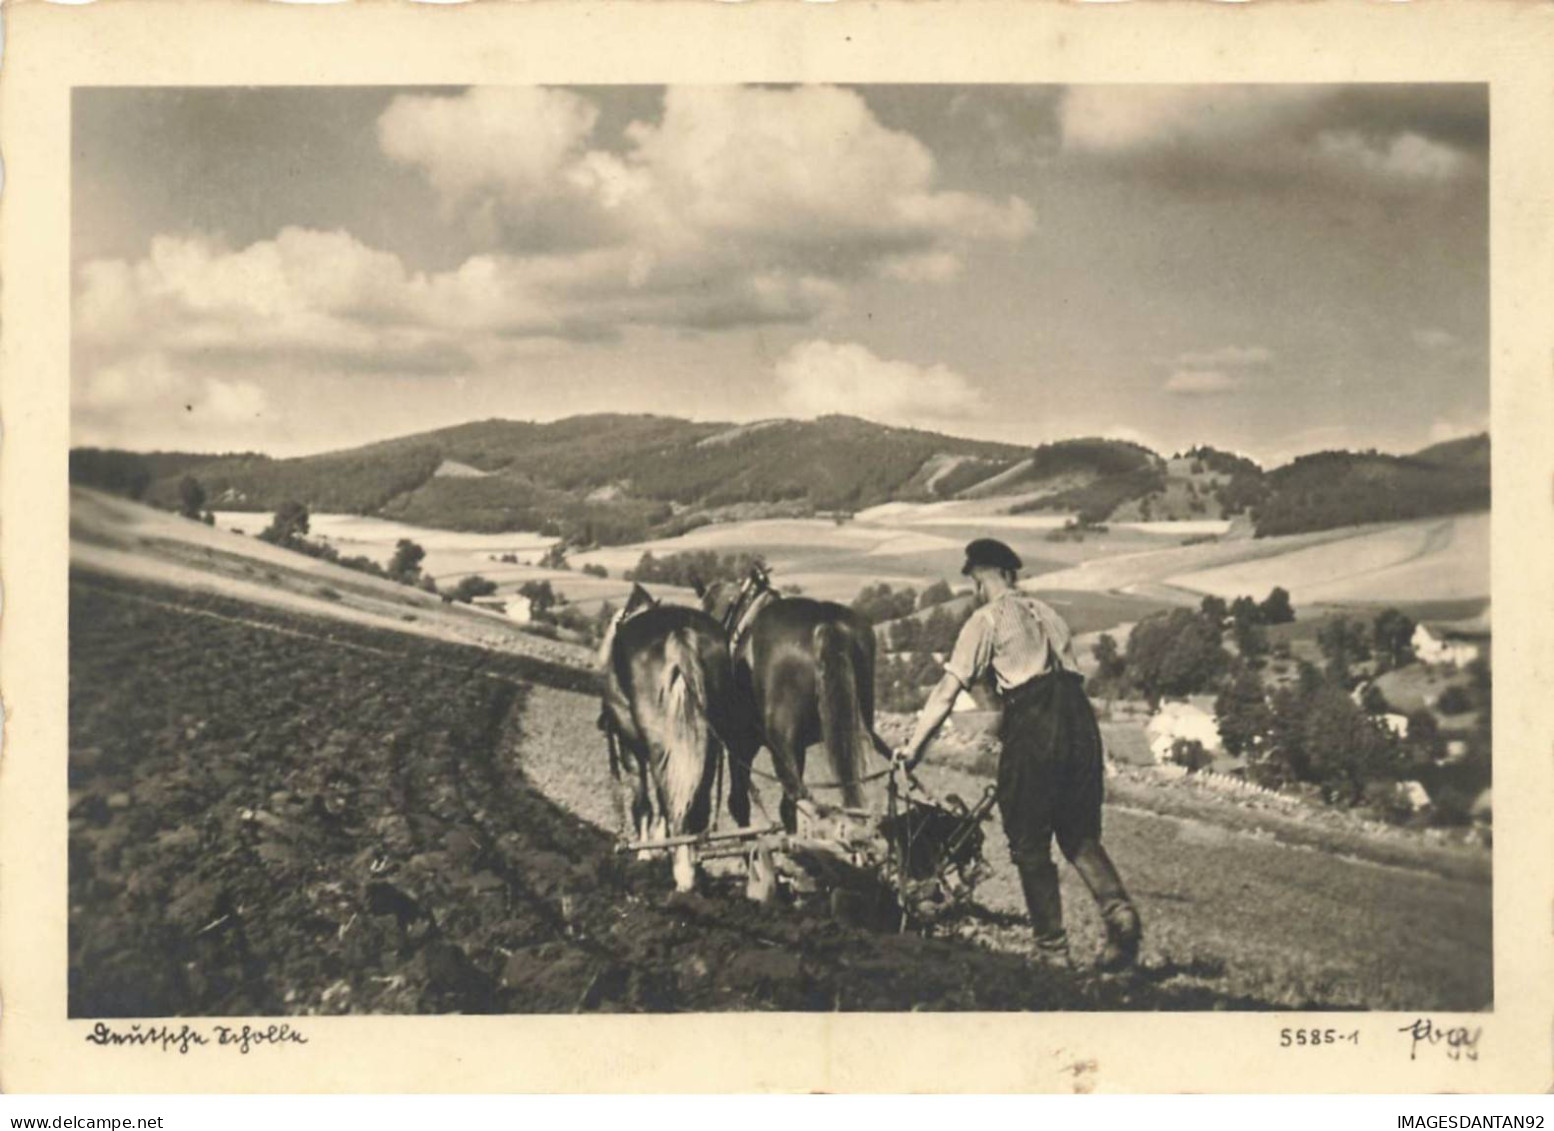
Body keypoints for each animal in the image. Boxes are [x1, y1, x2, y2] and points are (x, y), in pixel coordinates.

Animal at [596, 584, 749, 894]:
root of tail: (680, 634)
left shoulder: (630, 747)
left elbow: (642, 802)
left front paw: (645, 851)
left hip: (658, 743)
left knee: (669, 797)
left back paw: (682, 872)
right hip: (709, 742)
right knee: (696, 802)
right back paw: (692, 864)